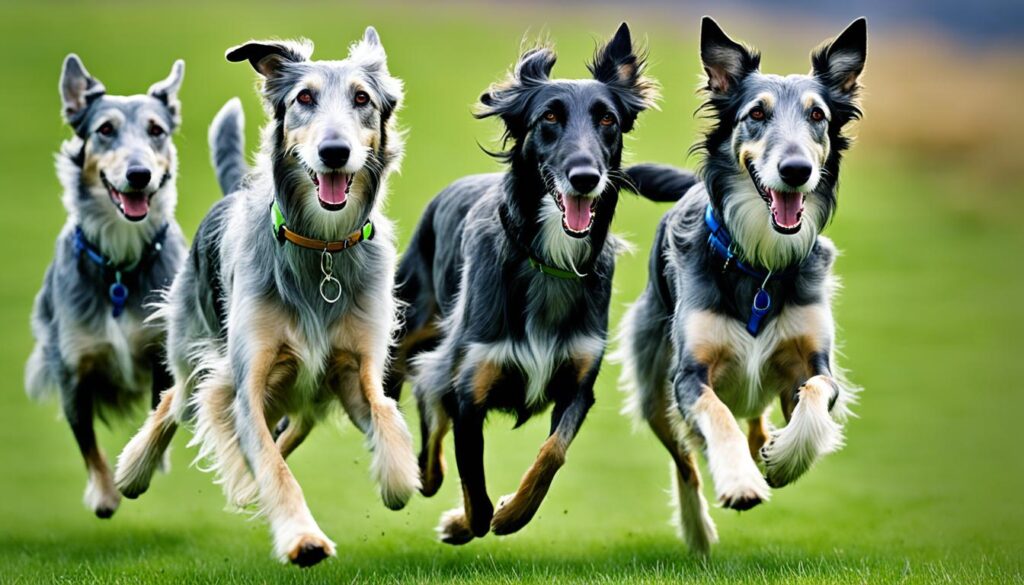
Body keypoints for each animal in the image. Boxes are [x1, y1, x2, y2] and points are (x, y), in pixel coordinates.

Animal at [24, 53, 187, 516]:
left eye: (156, 130)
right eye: (105, 130)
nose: (139, 173)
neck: (120, 261)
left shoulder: (161, 346)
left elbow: (160, 404)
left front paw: (148, 461)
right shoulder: (71, 366)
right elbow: (86, 440)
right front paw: (104, 493)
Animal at [112, 28, 415, 569]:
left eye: (362, 98)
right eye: (304, 98)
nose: (334, 151)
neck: (320, 247)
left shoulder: (356, 365)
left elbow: (385, 413)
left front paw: (398, 477)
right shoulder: (245, 379)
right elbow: (272, 465)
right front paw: (302, 537)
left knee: (295, 422)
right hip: (194, 344)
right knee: (176, 399)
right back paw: (134, 470)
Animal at [385, 22, 663, 545]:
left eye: (608, 120)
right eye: (549, 116)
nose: (584, 177)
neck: (548, 259)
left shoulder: (579, 383)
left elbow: (552, 452)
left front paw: (514, 511)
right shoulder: (469, 388)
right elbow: (474, 488)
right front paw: (466, 522)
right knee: (421, 399)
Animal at [614, 17, 864, 553]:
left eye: (818, 114)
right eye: (756, 113)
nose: (796, 170)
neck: (760, 261)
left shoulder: (815, 364)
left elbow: (815, 395)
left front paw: (785, 458)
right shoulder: (688, 374)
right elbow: (716, 418)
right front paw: (740, 480)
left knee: (754, 419)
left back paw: (768, 448)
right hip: (653, 388)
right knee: (686, 459)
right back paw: (699, 528)